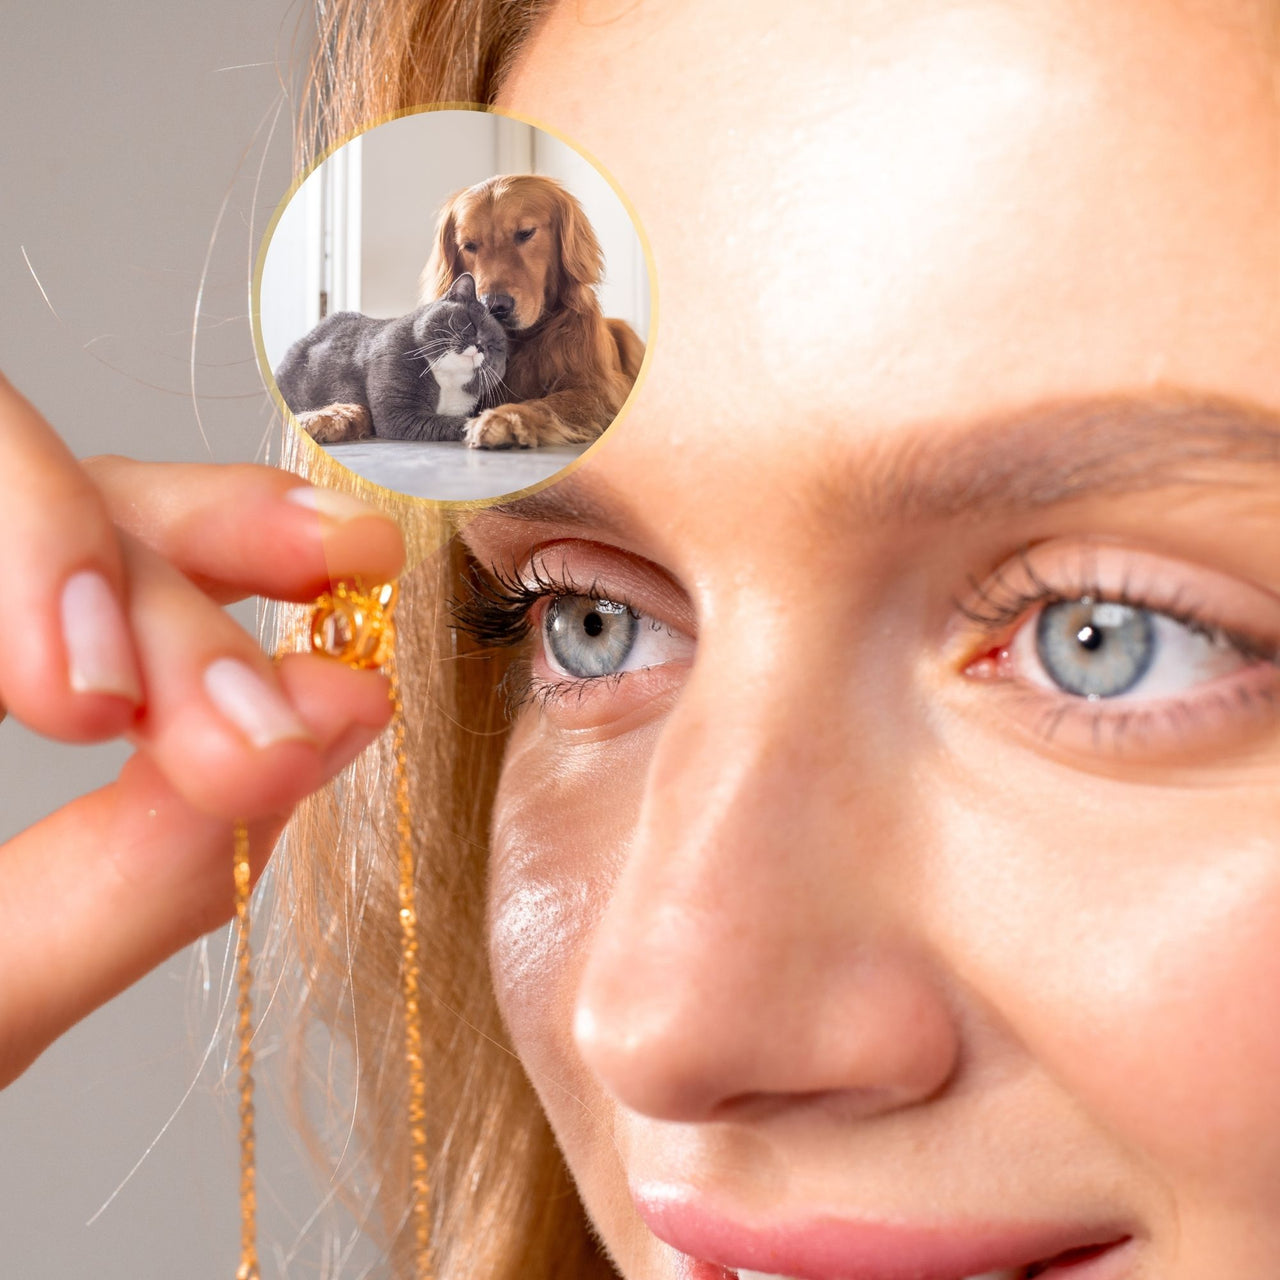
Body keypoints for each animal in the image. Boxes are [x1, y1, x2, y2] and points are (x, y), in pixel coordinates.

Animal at [277, 272, 506, 442]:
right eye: (471, 324)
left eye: (494, 347)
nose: (480, 346)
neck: (447, 381)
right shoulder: (399, 413)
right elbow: (448, 422)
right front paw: (485, 426)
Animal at [422, 172, 645, 448]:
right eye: (469, 245)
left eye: (525, 233)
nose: (494, 306)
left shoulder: (599, 389)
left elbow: (548, 403)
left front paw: (505, 418)